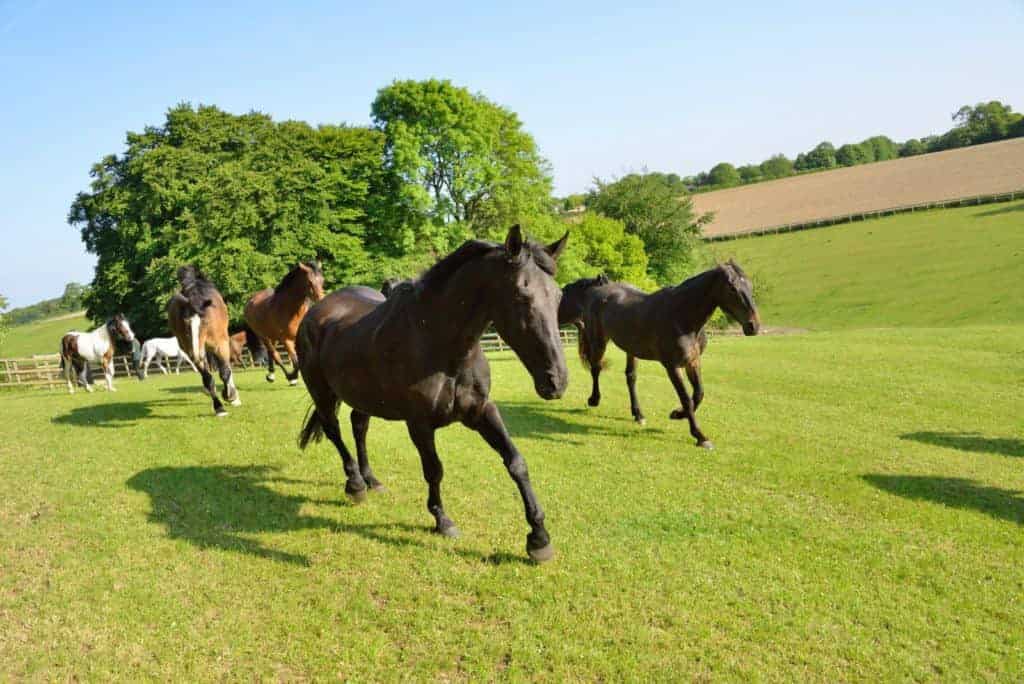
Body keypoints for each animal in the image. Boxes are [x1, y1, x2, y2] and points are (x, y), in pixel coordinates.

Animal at [167, 266, 240, 416]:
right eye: (185, 324)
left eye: (205, 322)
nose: (197, 354)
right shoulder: (191, 350)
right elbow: (208, 378)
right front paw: (219, 408)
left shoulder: (220, 344)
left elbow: (225, 372)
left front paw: (230, 396)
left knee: (226, 368)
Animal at [296, 226, 569, 562]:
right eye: (521, 294)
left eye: (558, 296)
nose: (556, 381)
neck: (440, 343)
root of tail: (315, 312)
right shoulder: (419, 424)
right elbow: (434, 470)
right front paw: (442, 520)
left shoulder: (482, 411)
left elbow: (516, 462)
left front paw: (539, 538)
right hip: (322, 392)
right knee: (334, 430)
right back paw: (356, 484)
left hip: (364, 396)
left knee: (358, 426)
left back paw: (372, 480)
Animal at [572, 260, 760, 449]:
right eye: (732, 288)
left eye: (750, 286)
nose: (753, 326)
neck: (681, 317)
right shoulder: (672, 366)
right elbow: (686, 399)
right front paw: (700, 436)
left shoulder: (692, 361)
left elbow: (698, 394)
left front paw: (677, 414)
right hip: (598, 341)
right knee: (596, 368)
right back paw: (594, 400)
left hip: (630, 349)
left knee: (630, 377)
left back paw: (638, 415)